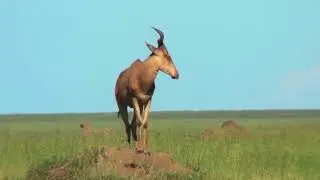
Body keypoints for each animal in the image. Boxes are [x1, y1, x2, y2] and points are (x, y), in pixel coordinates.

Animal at [114, 26, 180, 155]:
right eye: (167, 55)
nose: (176, 74)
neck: (142, 75)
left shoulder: (147, 101)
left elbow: (144, 123)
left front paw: (145, 149)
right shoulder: (134, 99)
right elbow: (139, 122)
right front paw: (140, 148)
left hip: (138, 106)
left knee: (133, 124)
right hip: (122, 105)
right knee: (127, 125)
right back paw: (131, 148)